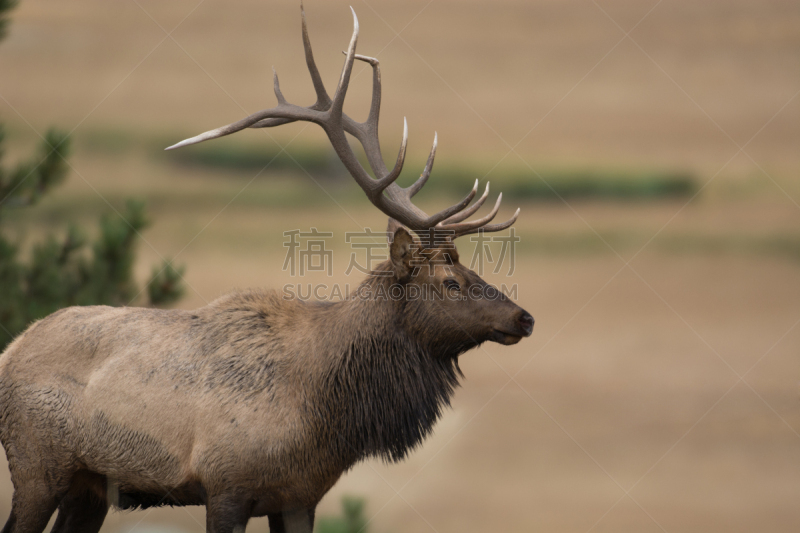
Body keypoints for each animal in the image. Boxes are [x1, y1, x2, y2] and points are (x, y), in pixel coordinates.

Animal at [3, 5, 536, 532]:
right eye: (451, 283)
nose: (524, 318)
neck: (324, 419)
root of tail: (11, 349)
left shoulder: (301, 496)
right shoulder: (225, 485)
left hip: (89, 486)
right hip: (35, 468)